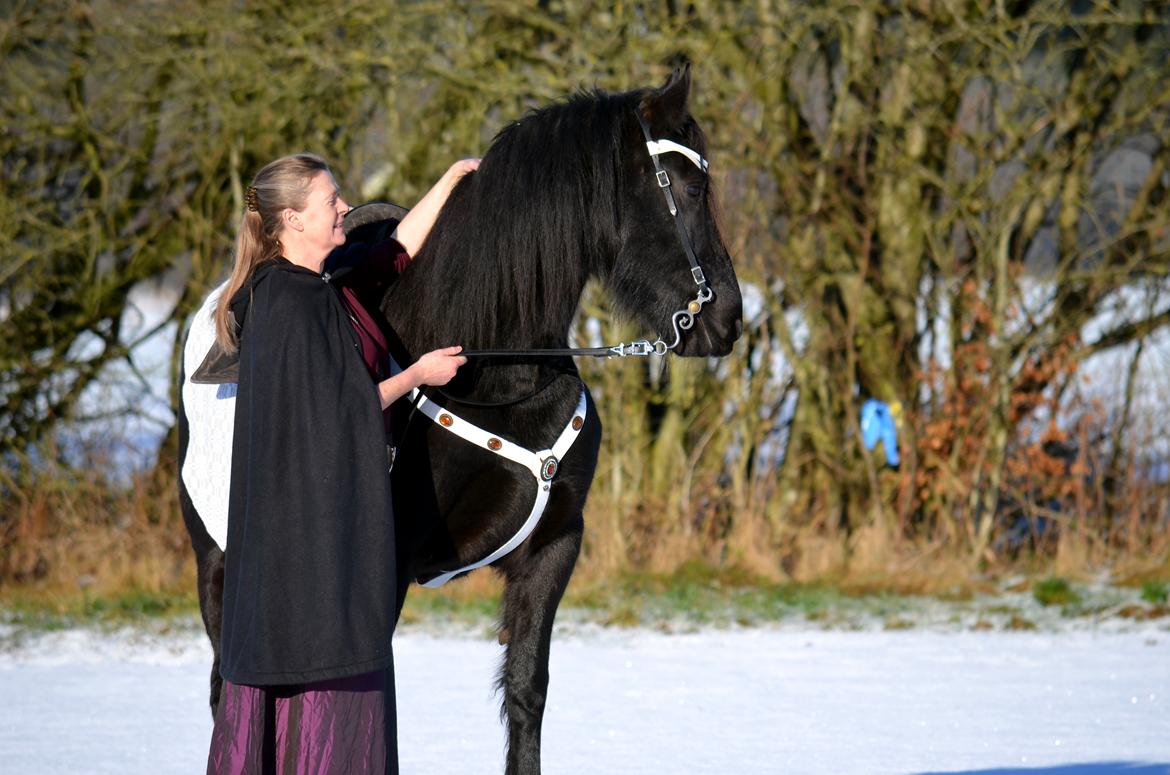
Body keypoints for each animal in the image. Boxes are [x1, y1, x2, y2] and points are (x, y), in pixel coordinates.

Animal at [175, 68, 739, 775]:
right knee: (230, 686)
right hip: (217, 564)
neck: (498, 378)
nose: (728, 321)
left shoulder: (553, 550)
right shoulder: (381, 571)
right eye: (690, 188)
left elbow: (526, 693)